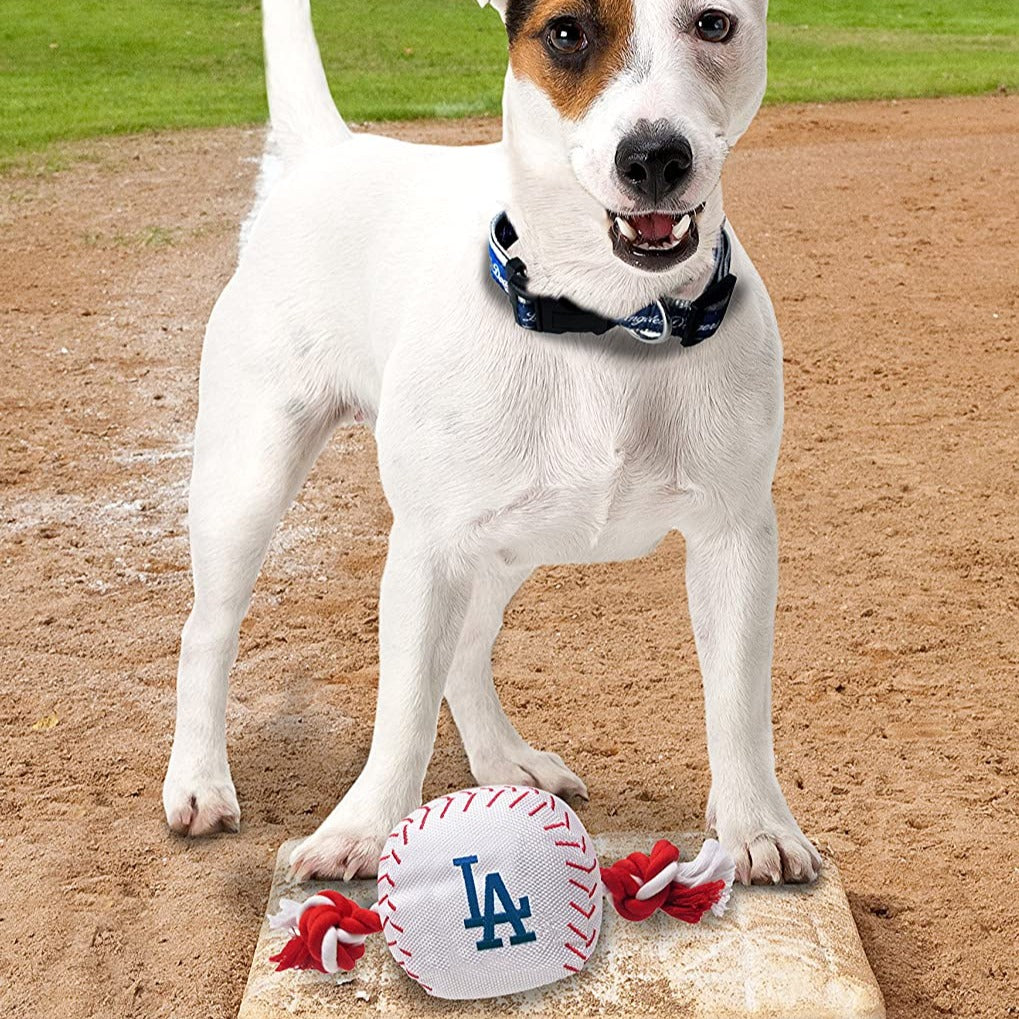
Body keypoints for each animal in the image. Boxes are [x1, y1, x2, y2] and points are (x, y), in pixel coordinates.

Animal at [163, 0, 823, 884]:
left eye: (713, 23)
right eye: (566, 32)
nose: (654, 156)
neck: (609, 318)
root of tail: (334, 150)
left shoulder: (735, 534)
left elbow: (739, 698)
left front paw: (755, 823)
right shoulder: (428, 547)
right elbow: (403, 704)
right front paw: (362, 829)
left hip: (511, 542)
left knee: (469, 650)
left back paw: (505, 760)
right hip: (249, 481)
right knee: (208, 632)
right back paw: (199, 780)